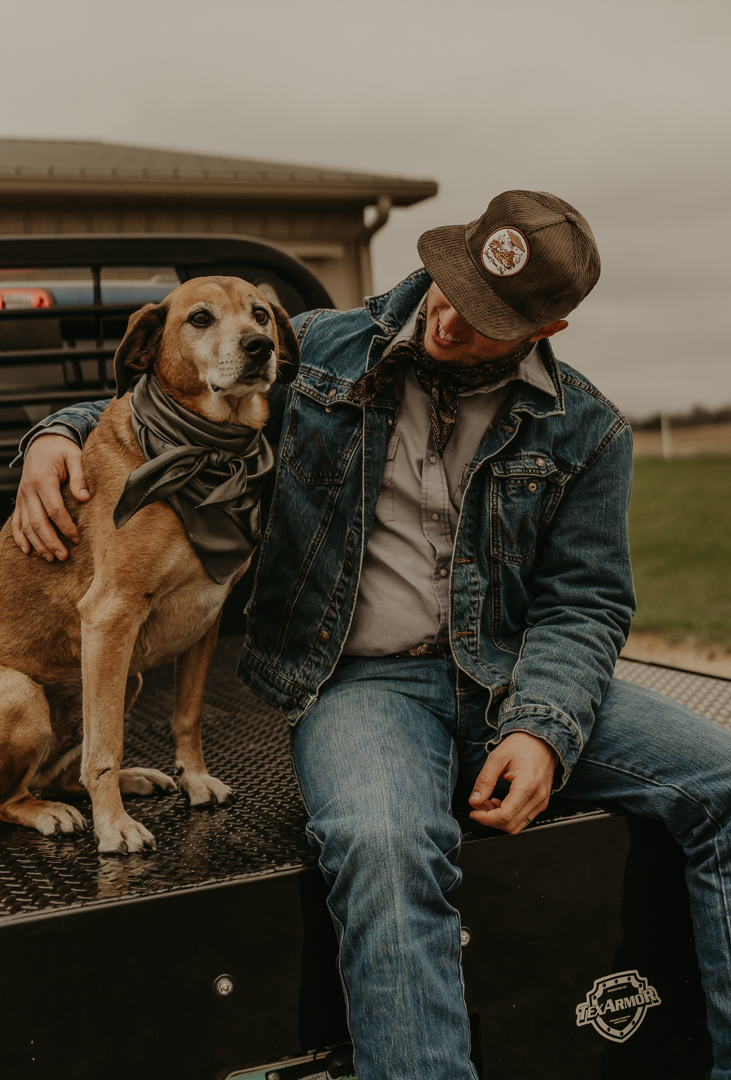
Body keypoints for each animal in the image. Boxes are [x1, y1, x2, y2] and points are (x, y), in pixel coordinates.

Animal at [0, 276, 300, 851]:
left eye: (260, 314)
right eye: (200, 318)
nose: (259, 346)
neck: (205, 452)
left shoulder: (206, 617)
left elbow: (187, 715)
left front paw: (194, 779)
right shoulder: (109, 616)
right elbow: (106, 747)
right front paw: (114, 828)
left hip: (127, 678)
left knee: (61, 772)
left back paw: (132, 780)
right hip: (26, 694)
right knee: (10, 796)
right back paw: (48, 811)